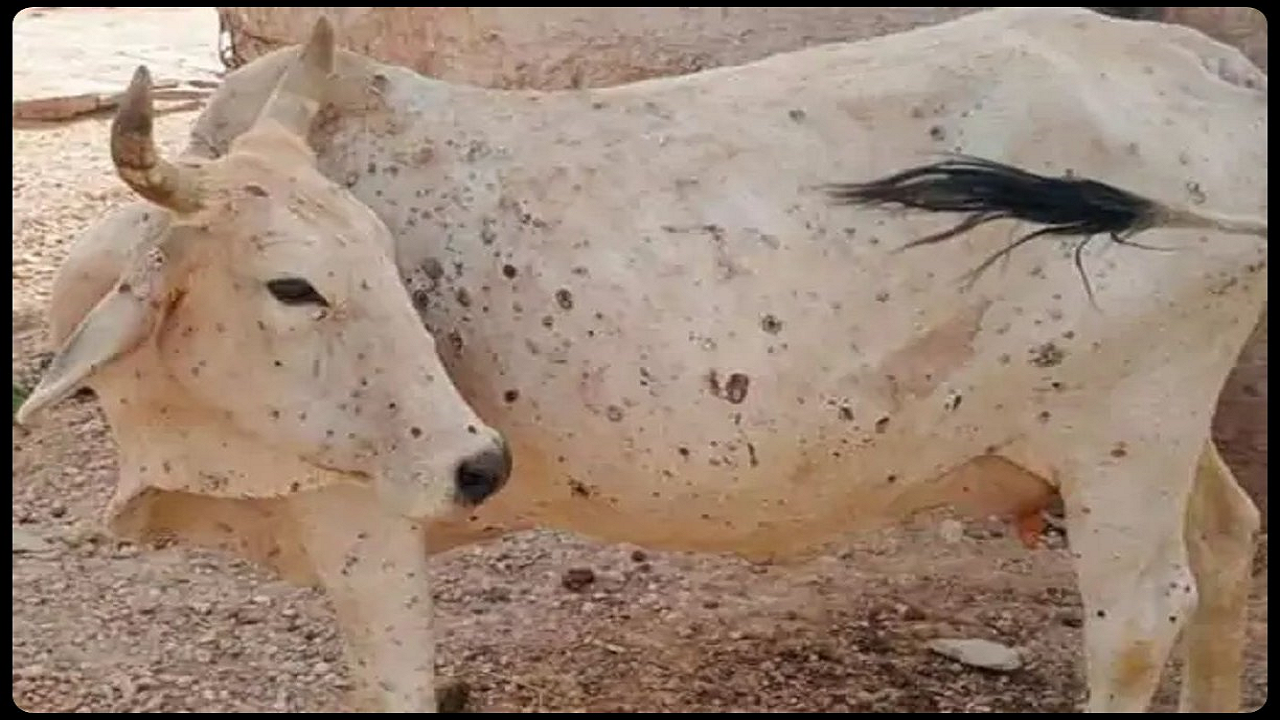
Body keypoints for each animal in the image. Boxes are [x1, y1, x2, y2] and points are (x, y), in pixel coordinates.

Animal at [15, 5, 1264, 712]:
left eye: (369, 263)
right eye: (294, 283)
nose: (480, 465)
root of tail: (1210, 63)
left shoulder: (358, 518)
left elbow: (394, 684)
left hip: (1121, 437)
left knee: (1137, 618)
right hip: (1150, 429)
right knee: (1225, 539)